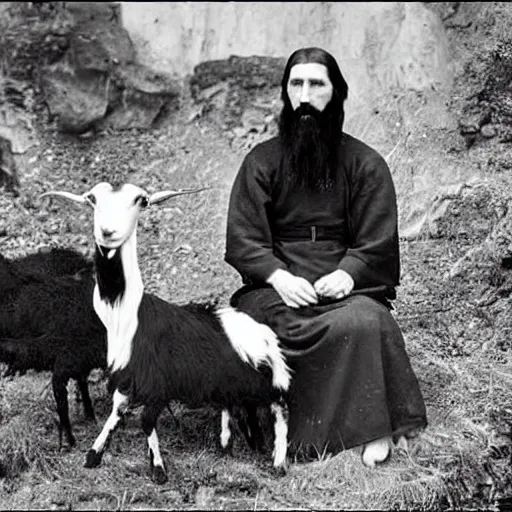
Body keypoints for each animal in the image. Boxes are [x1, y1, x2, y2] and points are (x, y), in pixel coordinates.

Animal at [42, 183, 290, 484]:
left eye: (141, 200)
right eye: (92, 199)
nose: (108, 232)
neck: (127, 315)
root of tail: (264, 333)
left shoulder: (157, 383)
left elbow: (145, 421)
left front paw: (158, 470)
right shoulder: (127, 375)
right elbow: (117, 412)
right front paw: (94, 455)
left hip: (268, 379)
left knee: (280, 409)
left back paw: (278, 462)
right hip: (236, 382)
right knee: (240, 406)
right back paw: (234, 444)